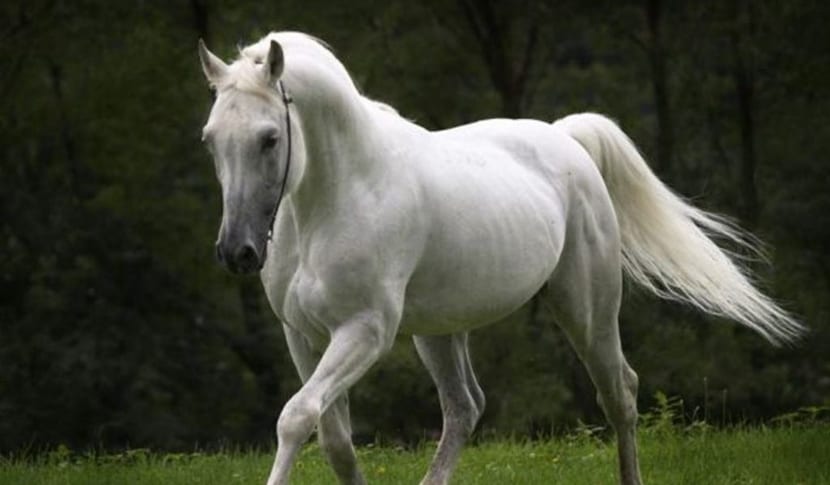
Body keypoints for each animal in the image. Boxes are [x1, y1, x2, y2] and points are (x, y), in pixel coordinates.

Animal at [197, 32, 803, 485]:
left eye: (270, 138)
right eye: (210, 139)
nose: (237, 252)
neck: (340, 194)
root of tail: (566, 138)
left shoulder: (363, 332)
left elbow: (295, 417)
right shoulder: (302, 335)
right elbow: (334, 439)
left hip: (586, 311)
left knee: (620, 394)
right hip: (439, 330)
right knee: (465, 407)